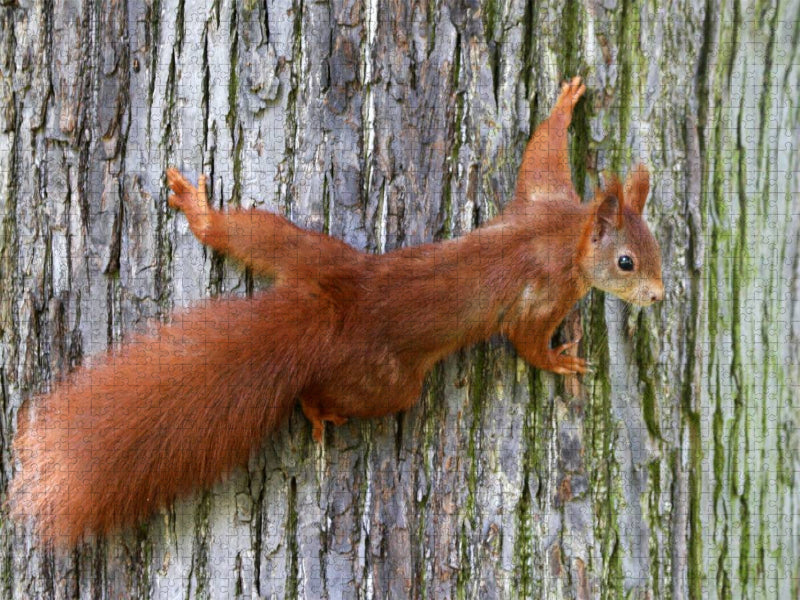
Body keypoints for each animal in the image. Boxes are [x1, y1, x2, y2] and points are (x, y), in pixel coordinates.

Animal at [8, 76, 663, 547]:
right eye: (627, 262)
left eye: (658, 249)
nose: (659, 296)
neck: (567, 234)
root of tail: (330, 313)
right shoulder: (543, 291)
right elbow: (526, 341)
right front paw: (561, 361)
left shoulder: (543, 197)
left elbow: (538, 155)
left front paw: (564, 103)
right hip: (386, 379)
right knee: (339, 393)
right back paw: (317, 409)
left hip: (307, 253)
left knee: (249, 234)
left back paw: (203, 214)